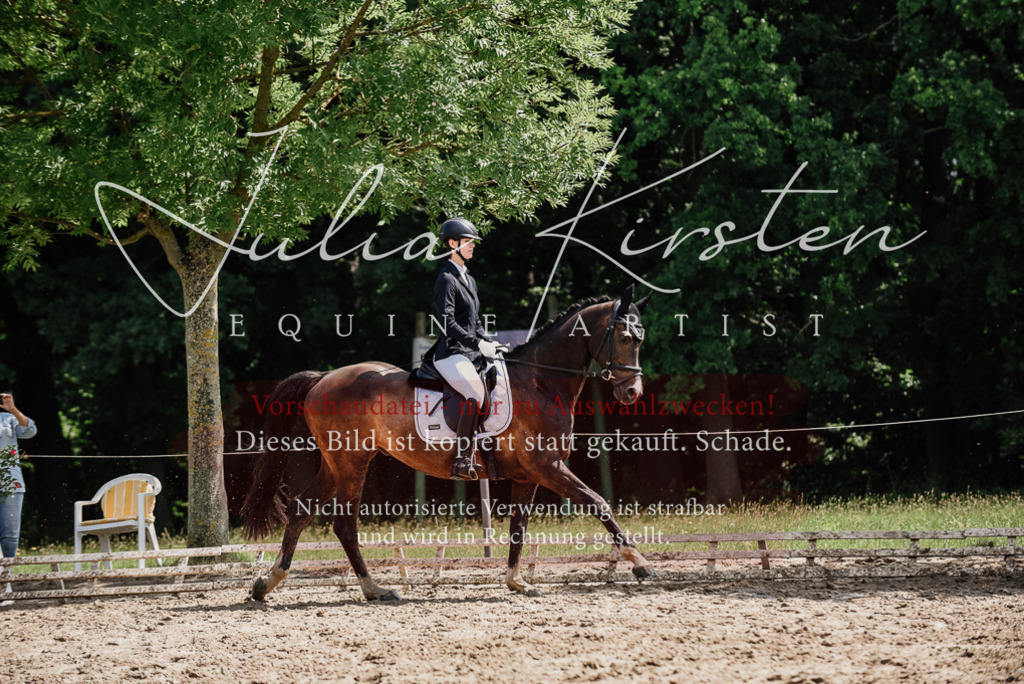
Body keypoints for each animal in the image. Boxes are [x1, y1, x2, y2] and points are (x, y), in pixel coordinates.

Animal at [242, 284, 654, 601]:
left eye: (641, 339)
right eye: (624, 338)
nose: (633, 392)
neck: (540, 382)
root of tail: (323, 378)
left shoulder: (528, 475)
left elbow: (518, 527)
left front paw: (516, 582)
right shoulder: (548, 467)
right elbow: (599, 503)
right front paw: (641, 564)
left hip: (336, 464)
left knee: (300, 509)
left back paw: (267, 583)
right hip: (352, 463)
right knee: (344, 525)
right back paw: (375, 589)